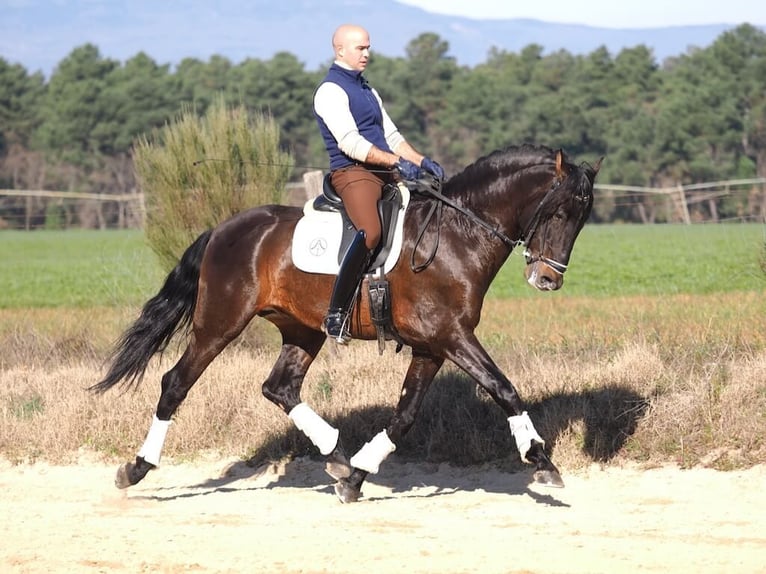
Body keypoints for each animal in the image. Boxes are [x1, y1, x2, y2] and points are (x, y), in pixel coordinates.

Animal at [93, 144, 604, 504]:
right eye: (558, 212)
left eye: (581, 220)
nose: (548, 280)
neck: (456, 237)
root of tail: (223, 228)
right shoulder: (452, 337)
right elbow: (504, 388)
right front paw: (540, 457)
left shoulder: (431, 346)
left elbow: (404, 415)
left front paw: (356, 478)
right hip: (219, 323)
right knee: (175, 383)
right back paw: (135, 469)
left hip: (302, 330)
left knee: (279, 387)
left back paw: (337, 456)